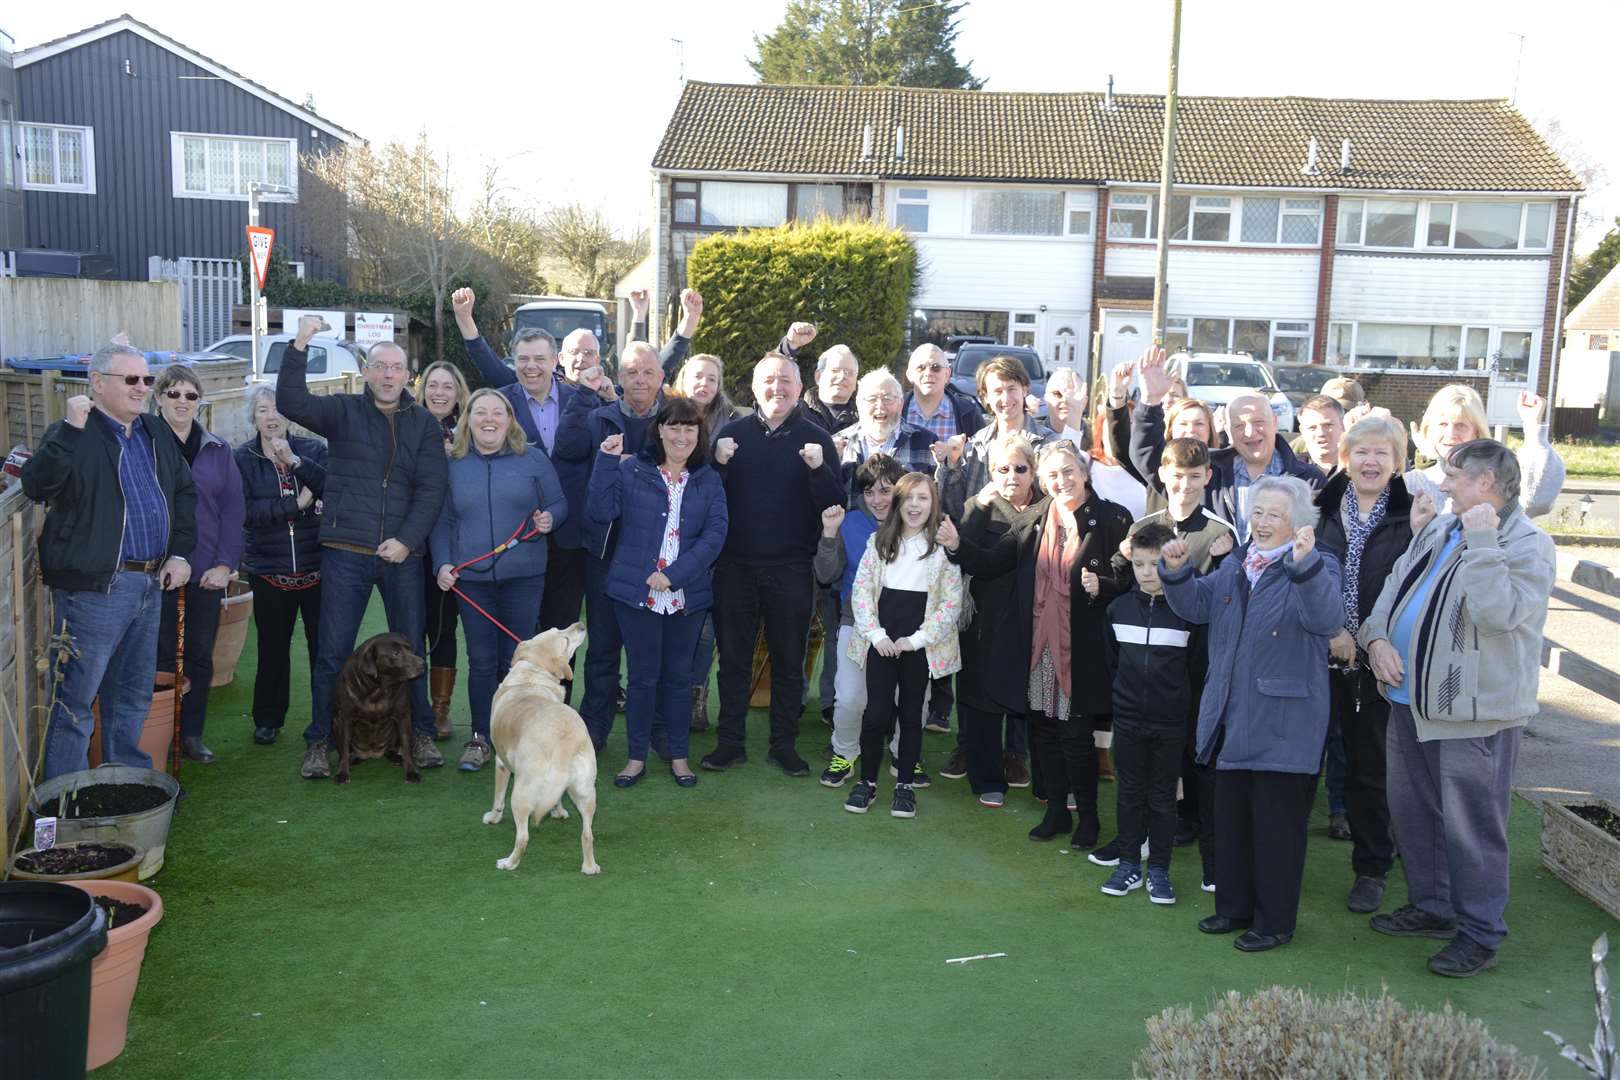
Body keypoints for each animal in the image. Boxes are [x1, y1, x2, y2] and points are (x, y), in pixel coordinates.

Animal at [333, 634, 427, 786]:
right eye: (396, 653)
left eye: (409, 648)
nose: (423, 664)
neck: (377, 689)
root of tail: (372, 753)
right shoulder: (345, 718)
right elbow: (345, 746)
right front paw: (342, 772)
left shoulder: (403, 716)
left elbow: (406, 746)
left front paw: (411, 772)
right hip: (335, 722)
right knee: (346, 750)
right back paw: (352, 759)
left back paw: (396, 757)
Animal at [482, 621, 605, 874]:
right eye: (559, 631)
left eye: (566, 639)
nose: (581, 624)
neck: (534, 674)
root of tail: (565, 739)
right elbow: (555, 797)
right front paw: (558, 812)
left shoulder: (501, 763)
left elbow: (498, 798)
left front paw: (492, 817)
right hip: (587, 793)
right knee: (587, 834)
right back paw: (589, 867)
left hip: (520, 794)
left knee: (523, 837)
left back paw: (508, 863)